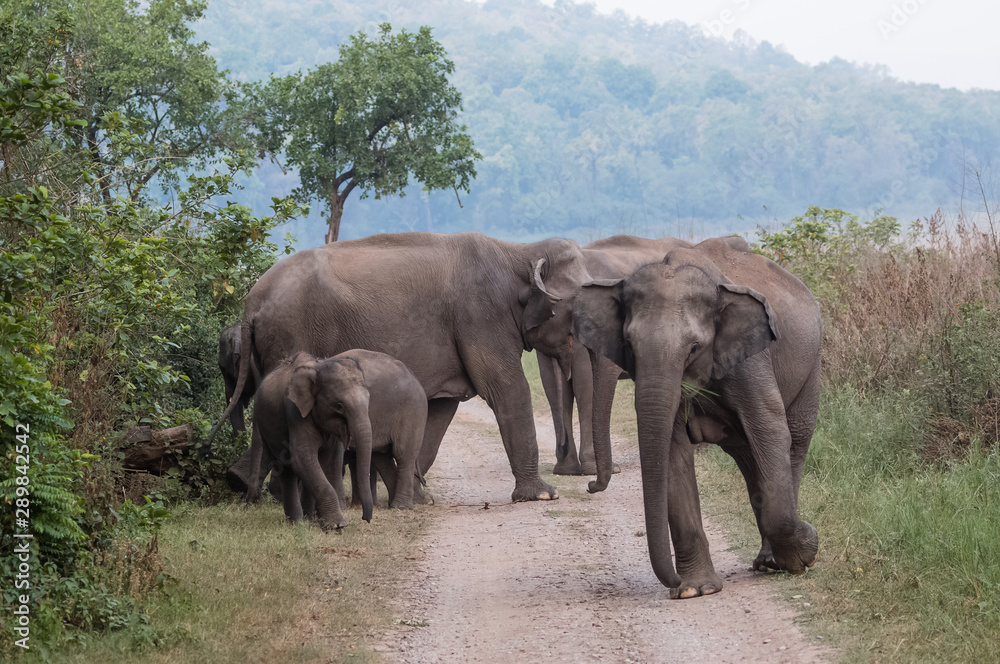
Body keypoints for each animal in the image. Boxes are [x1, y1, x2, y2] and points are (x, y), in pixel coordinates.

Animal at [211, 231, 598, 504]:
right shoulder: (481, 317)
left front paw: (420, 497)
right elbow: (506, 388)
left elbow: (440, 410)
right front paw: (544, 495)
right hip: (290, 335)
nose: (591, 484)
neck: (520, 251)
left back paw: (242, 482)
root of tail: (252, 301)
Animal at [246, 349, 428, 529]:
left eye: (369, 401)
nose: (366, 518)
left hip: (412, 413)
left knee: (402, 454)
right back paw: (298, 522)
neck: (318, 367)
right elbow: (303, 458)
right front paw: (337, 524)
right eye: (339, 406)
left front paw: (332, 521)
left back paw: (402, 506)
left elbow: (330, 460)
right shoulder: (295, 413)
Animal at [573, 236, 822, 598]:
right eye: (629, 345)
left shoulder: (751, 361)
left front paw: (807, 551)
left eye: (693, 348)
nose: (591, 486)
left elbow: (770, 429)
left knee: (794, 444)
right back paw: (765, 561)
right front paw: (695, 590)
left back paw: (772, 562)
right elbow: (672, 450)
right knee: (749, 458)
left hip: (811, 367)